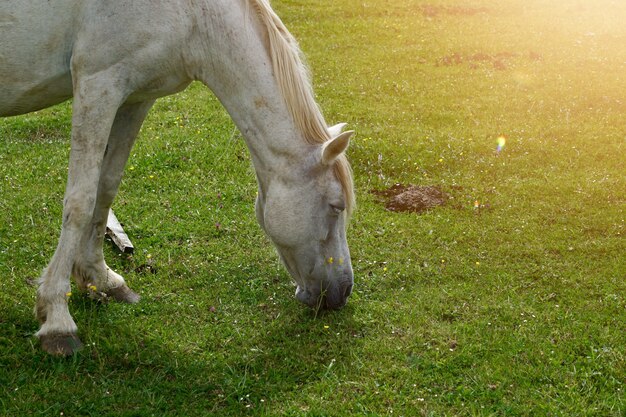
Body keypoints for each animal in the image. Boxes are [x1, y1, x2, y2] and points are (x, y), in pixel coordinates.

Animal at [1, 0, 352, 354]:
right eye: (336, 206)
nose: (342, 292)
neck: (194, 15)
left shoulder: (135, 97)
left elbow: (106, 187)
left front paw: (101, 278)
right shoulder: (98, 85)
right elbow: (81, 202)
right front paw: (57, 318)